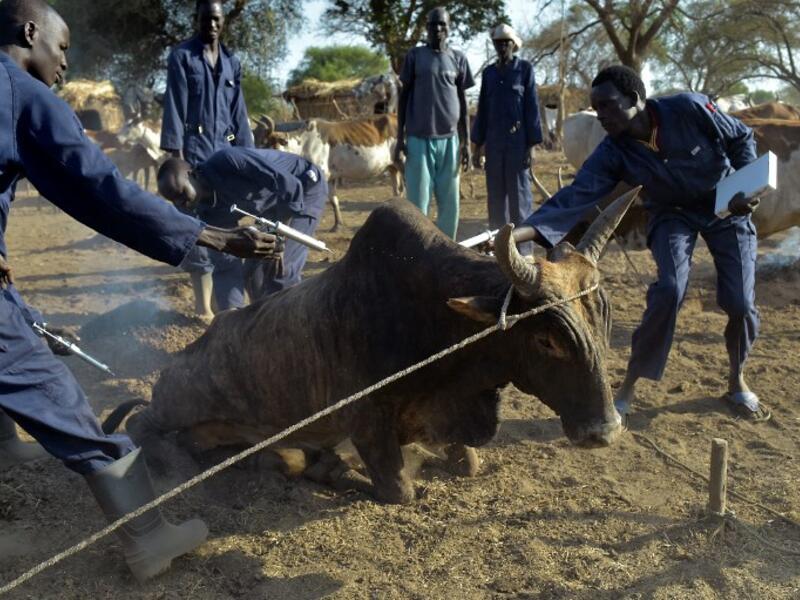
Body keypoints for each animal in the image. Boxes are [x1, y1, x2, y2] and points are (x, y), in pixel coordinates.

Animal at [104, 193, 634, 504]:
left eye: (604, 323)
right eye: (546, 338)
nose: (604, 431)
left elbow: (467, 460)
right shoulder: (367, 423)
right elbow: (401, 489)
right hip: (179, 403)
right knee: (141, 423)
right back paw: (174, 469)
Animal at [254, 114, 403, 231]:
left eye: (265, 143)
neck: (303, 145)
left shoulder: (321, 175)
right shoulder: (331, 177)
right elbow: (334, 200)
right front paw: (337, 225)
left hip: (402, 162)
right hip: (392, 167)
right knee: (397, 190)